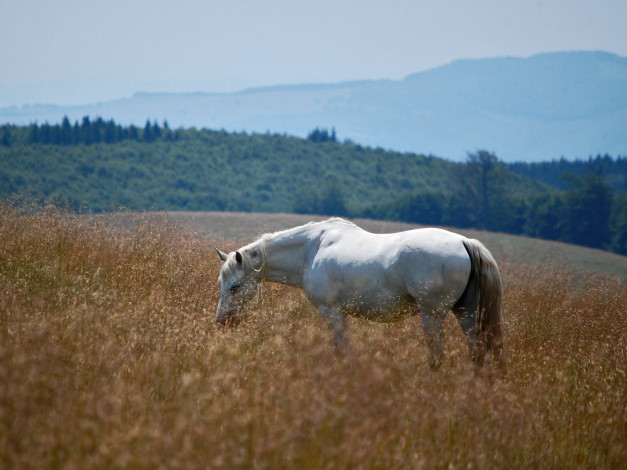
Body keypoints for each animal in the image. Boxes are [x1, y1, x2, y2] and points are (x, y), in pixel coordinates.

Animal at [216, 219, 506, 370]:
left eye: (234, 287)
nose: (221, 323)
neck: (311, 249)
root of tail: (464, 242)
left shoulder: (331, 311)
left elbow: (341, 348)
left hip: (432, 314)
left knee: (438, 353)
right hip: (467, 313)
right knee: (477, 351)